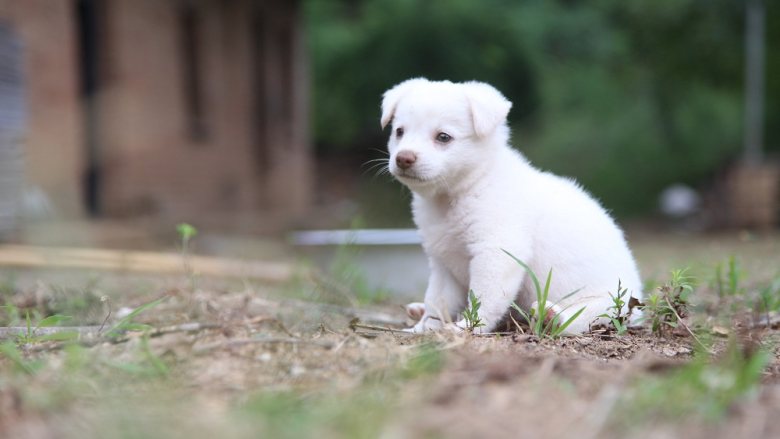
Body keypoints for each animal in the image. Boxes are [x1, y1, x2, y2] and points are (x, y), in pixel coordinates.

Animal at [380, 78, 644, 334]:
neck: (462, 190)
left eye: (443, 137)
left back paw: (553, 317)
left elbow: (484, 298)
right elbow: (436, 300)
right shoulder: (443, 264)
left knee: (584, 319)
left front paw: (468, 327)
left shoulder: (497, 252)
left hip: (609, 303)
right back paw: (417, 310)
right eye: (399, 131)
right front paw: (423, 328)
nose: (403, 158)